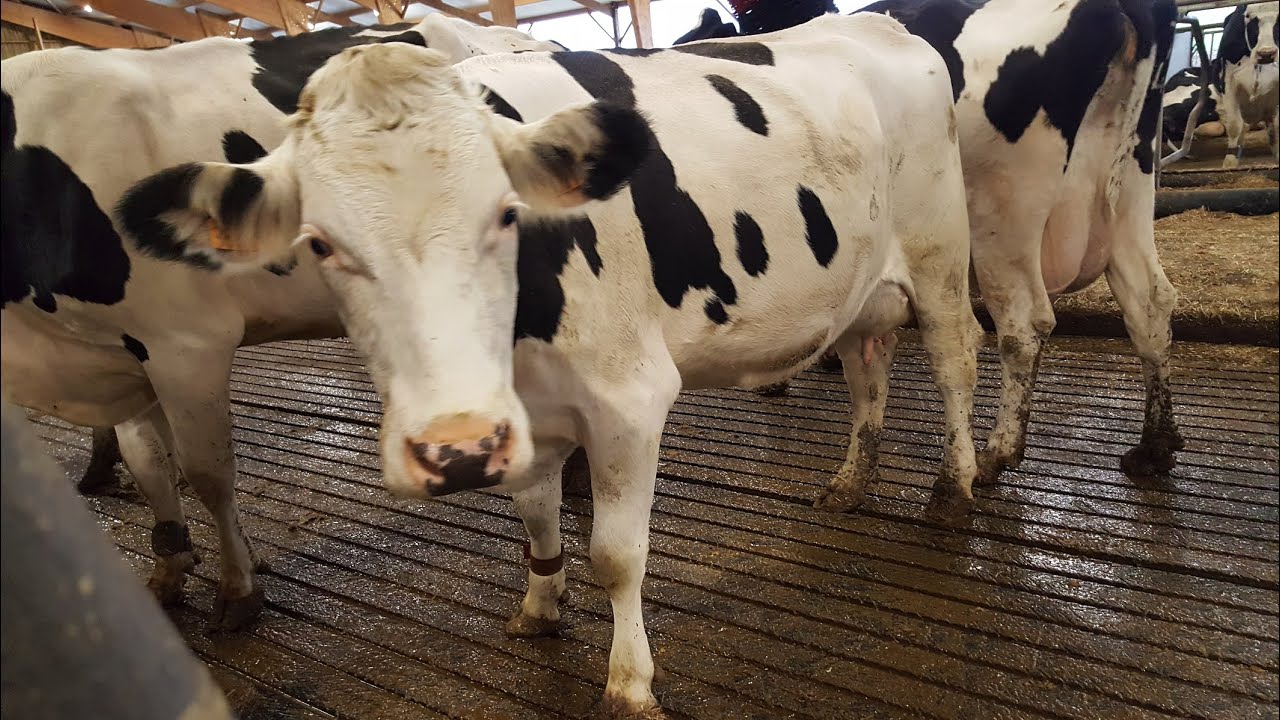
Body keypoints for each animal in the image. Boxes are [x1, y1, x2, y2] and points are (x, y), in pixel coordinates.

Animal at [120, 16, 977, 712]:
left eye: (506, 213)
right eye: (320, 244)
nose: (448, 447)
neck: (519, 343)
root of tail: (875, 24)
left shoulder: (629, 400)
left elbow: (617, 556)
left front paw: (629, 685)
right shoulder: (520, 416)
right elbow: (533, 511)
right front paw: (539, 603)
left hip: (939, 255)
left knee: (956, 361)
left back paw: (954, 490)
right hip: (862, 290)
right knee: (868, 369)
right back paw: (850, 484)